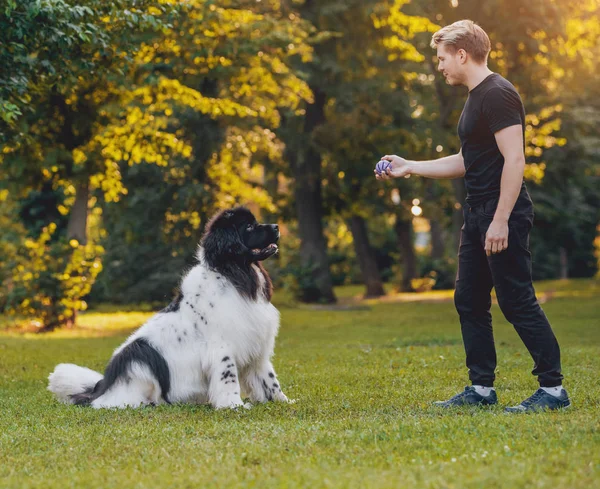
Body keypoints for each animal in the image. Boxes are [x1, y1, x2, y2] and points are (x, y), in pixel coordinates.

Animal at [47, 206, 290, 408]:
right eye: (248, 227)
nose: (277, 226)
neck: (234, 272)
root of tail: (101, 387)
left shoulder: (257, 344)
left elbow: (269, 377)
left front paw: (283, 401)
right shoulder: (222, 347)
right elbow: (228, 378)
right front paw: (233, 406)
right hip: (139, 358)